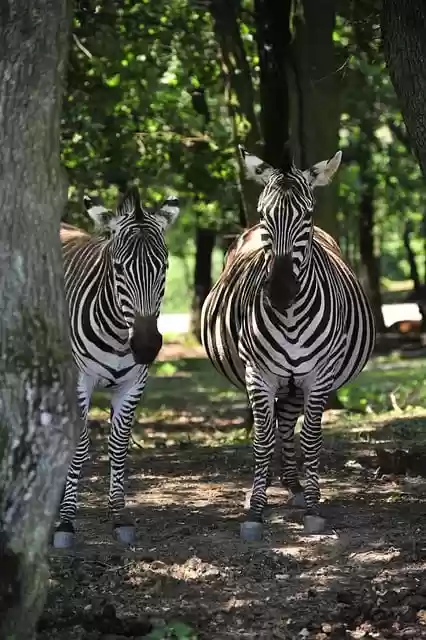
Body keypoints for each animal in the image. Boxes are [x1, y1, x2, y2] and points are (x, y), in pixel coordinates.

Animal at [53, 186, 180, 548]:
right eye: (119, 268)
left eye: (164, 266)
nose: (147, 346)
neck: (119, 334)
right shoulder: (80, 381)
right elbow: (80, 446)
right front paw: (65, 522)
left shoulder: (133, 385)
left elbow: (119, 447)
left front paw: (119, 516)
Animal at [201, 146, 375, 541]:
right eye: (265, 214)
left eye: (307, 215)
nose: (280, 292)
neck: (291, 318)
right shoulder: (258, 374)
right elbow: (262, 439)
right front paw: (256, 511)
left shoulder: (319, 376)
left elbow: (309, 438)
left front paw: (312, 507)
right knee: (272, 425)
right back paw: (265, 485)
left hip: (296, 382)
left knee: (287, 421)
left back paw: (295, 485)